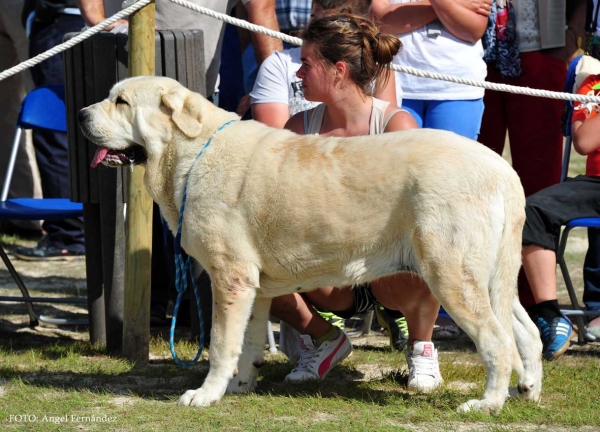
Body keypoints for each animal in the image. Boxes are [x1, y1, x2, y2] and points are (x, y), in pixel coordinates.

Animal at [78, 76, 544, 414]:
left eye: (121, 102)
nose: (81, 114)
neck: (193, 153)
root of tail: (502, 169)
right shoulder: (254, 287)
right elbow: (248, 342)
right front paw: (240, 386)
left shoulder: (229, 279)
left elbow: (221, 346)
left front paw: (205, 395)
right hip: (490, 279)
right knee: (527, 333)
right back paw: (528, 391)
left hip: (450, 276)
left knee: (498, 341)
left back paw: (487, 404)